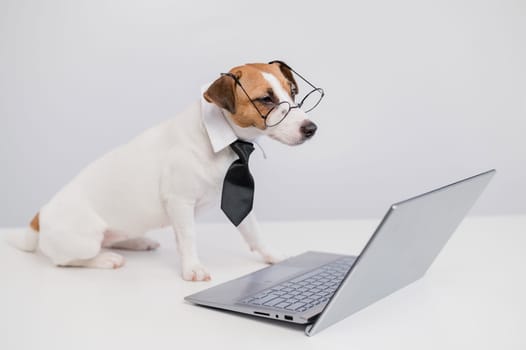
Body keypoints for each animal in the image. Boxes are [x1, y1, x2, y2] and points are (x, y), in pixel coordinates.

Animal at [8, 60, 320, 282]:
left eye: (293, 92)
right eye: (266, 99)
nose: (311, 129)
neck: (220, 138)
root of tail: (40, 216)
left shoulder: (235, 196)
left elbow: (253, 231)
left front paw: (272, 255)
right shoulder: (180, 202)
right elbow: (189, 236)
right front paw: (192, 267)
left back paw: (136, 241)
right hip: (85, 240)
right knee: (67, 260)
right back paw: (105, 258)